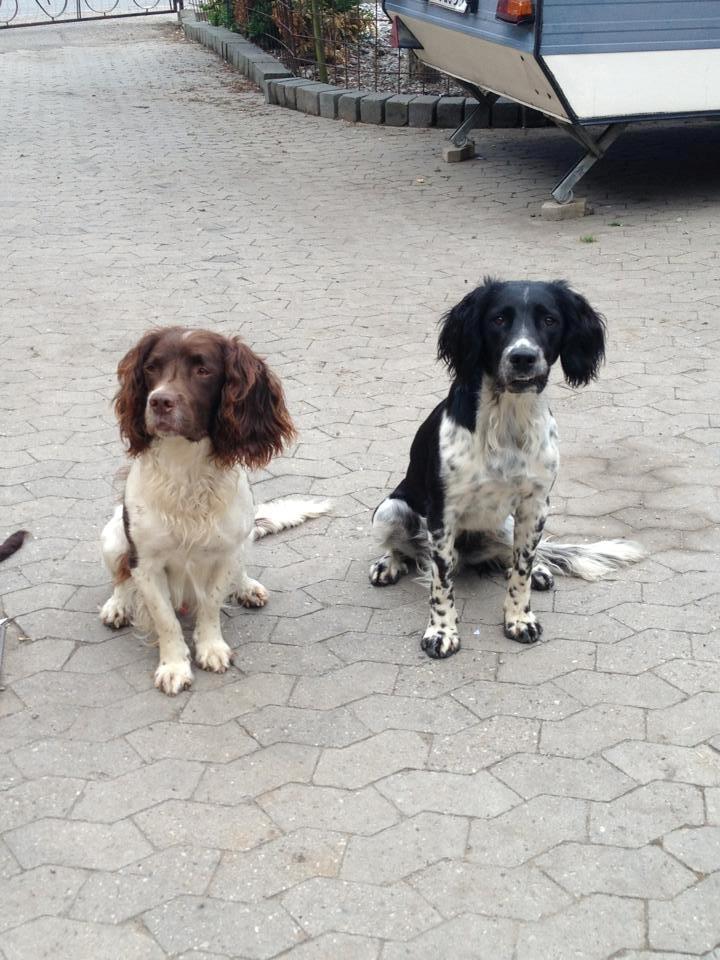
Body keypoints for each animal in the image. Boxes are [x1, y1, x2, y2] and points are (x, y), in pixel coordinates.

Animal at [99, 326, 330, 692]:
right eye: (151, 368)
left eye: (203, 370)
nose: (159, 401)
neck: (186, 468)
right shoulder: (146, 563)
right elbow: (165, 618)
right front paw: (174, 665)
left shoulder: (225, 553)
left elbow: (210, 603)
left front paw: (210, 648)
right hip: (112, 536)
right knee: (121, 576)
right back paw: (118, 605)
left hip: (244, 538)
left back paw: (247, 586)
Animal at [372, 276, 640, 652]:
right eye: (498, 319)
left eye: (549, 320)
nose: (523, 357)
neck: (508, 420)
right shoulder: (442, 513)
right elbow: (441, 582)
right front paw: (441, 631)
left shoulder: (535, 506)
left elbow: (522, 569)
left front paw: (519, 618)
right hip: (389, 510)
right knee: (403, 549)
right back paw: (389, 564)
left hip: (507, 524)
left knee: (513, 558)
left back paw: (539, 569)